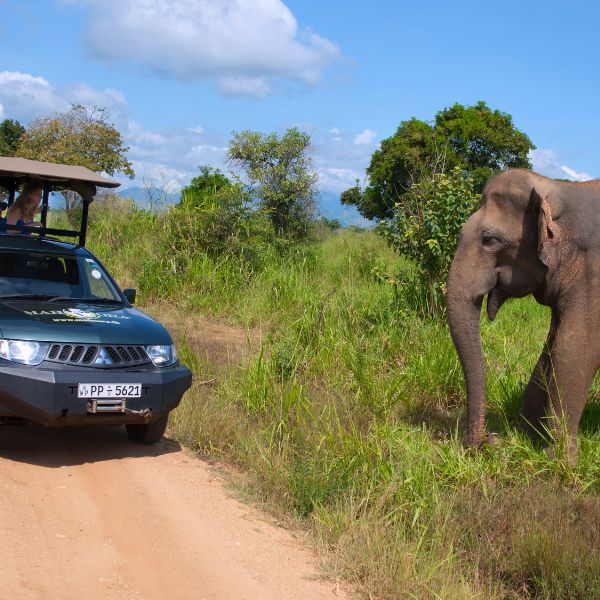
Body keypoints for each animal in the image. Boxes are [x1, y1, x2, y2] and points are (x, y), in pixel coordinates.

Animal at [448, 169, 600, 464]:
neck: (560, 189)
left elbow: (575, 348)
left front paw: (558, 459)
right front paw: (525, 436)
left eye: (490, 240)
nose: (488, 441)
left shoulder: (594, 272)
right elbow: (550, 348)